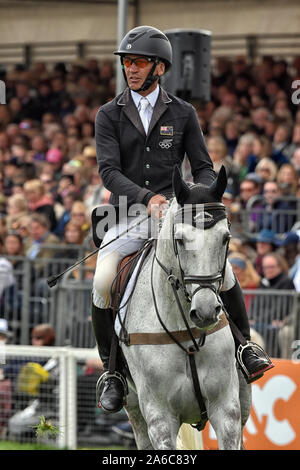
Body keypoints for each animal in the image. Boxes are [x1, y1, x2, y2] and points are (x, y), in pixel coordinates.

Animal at [116, 167, 252, 450]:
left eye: (226, 238)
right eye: (179, 240)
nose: (206, 311)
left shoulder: (227, 410)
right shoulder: (160, 419)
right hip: (134, 411)